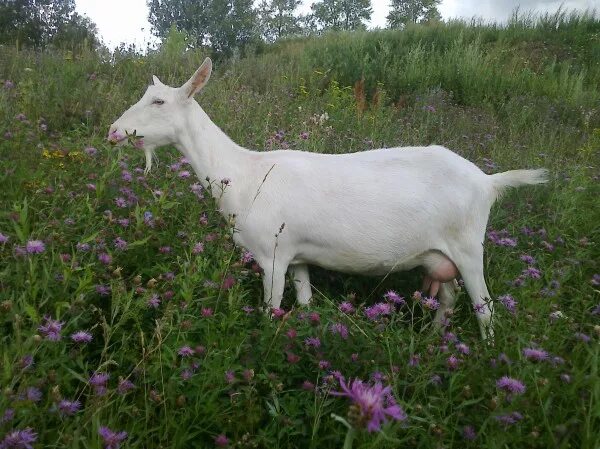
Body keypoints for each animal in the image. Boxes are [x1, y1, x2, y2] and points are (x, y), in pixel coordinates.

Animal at [109, 57, 548, 338]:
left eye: (159, 101)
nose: (114, 131)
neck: (245, 174)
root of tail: (488, 181)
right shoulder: (298, 255)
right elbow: (304, 302)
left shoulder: (271, 254)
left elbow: (271, 309)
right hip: (439, 256)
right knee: (450, 298)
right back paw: (435, 344)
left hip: (469, 247)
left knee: (485, 308)